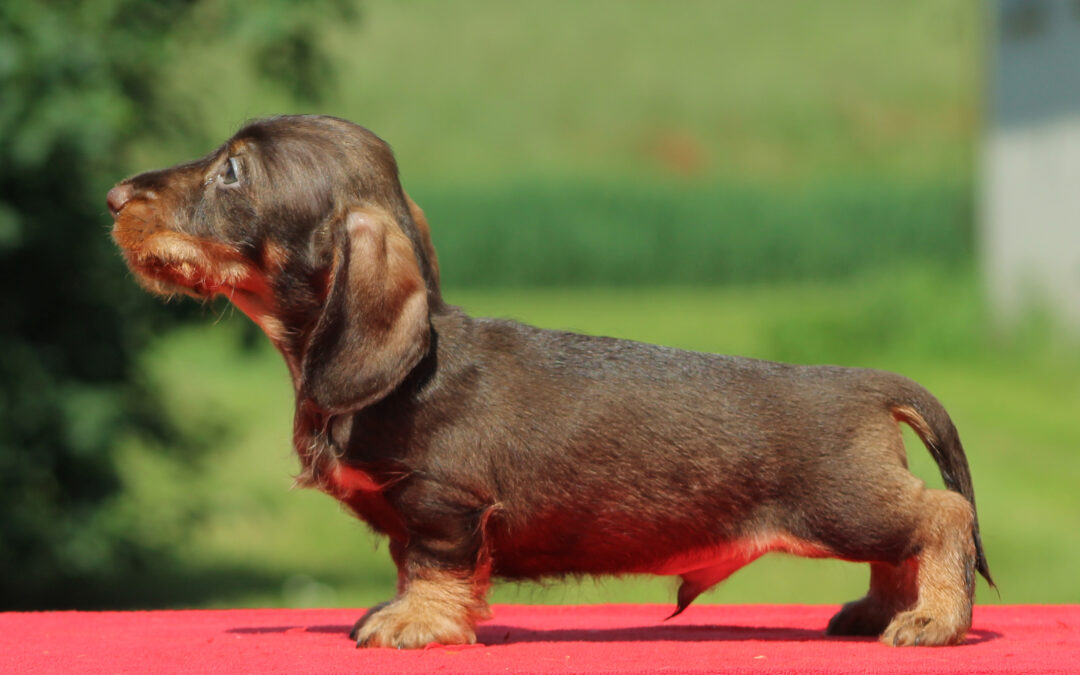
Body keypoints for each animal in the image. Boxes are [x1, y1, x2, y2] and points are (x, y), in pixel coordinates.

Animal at [109, 114, 993, 648]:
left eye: (231, 174)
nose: (114, 195)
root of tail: (870, 383)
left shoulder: (444, 503)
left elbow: (431, 565)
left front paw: (415, 623)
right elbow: (408, 564)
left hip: (843, 503)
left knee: (941, 516)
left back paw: (932, 617)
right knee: (901, 544)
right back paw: (883, 609)